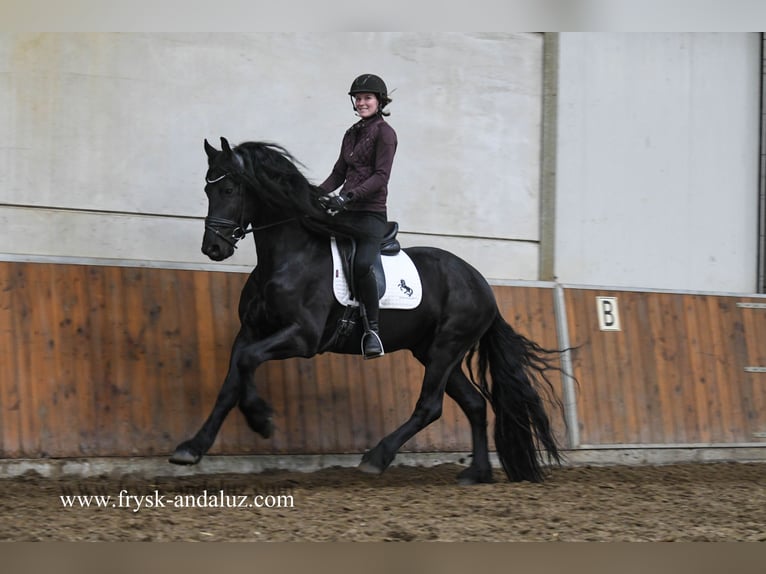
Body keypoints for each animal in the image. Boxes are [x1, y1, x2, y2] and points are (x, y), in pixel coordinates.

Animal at [171, 137, 568, 484]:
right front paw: (191, 448)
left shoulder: (303, 337)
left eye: (228, 190)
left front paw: (261, 418)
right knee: (473, 403)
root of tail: (481, 284)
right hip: (432, 351)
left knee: (430, 406)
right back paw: (476, 474)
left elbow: (250, 361)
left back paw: (377, 457)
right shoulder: (250, 331)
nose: (213, 248)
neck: (288, 258)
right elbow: (232, 380)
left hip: (447, 347)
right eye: (207, 190)